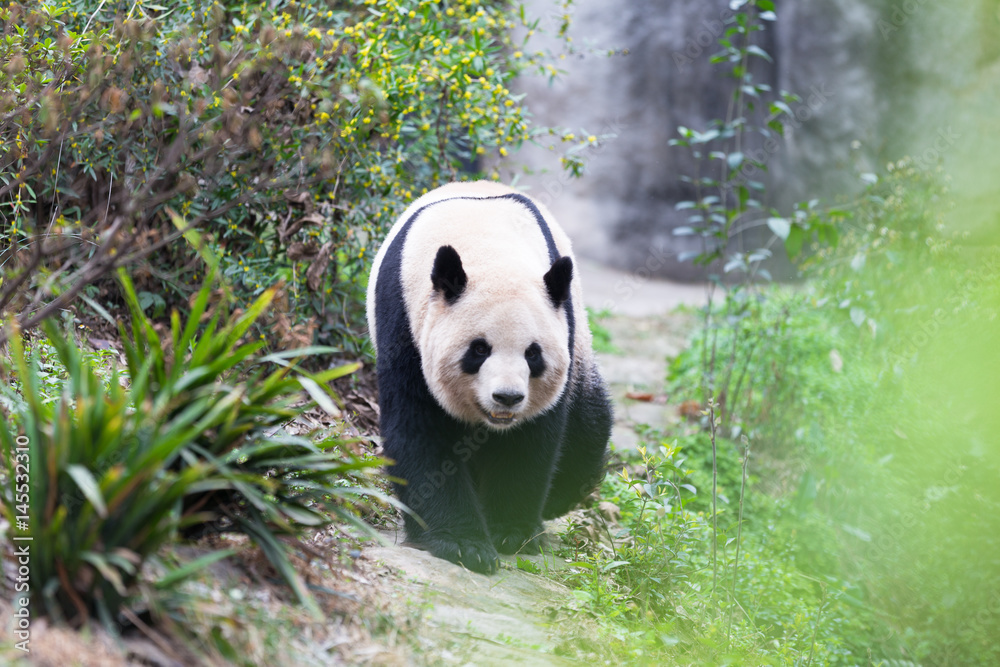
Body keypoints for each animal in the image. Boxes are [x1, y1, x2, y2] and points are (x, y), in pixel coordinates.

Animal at [368, 181, 612, 576]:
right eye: (479, 349)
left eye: (533, 354)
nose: (507, 398)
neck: (487, 243)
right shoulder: (404, 323)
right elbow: (420, 429)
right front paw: (462, 542)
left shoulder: (562, 329)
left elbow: (528, 439)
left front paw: (511, 531)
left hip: (581, 351)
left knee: (587, 428)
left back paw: (553, 502)